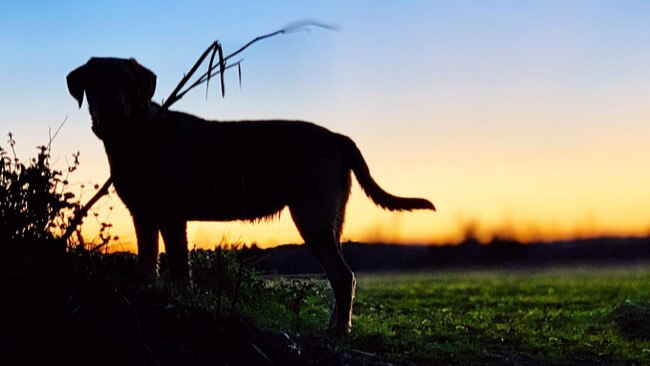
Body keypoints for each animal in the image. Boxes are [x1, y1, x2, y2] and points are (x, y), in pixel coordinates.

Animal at [66, 57, 436, 334]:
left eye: (129, 83)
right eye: (95, 82)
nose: (110, 107)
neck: (137, 134)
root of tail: (338, 137)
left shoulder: (172, 216)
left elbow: (179, 269)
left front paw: (180, 305)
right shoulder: (144, 215)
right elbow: (146, 264)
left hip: (312, 218)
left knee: (344, 277)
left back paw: (338, 334)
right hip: (330, 221)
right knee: (341, 276)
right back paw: (335, 328)